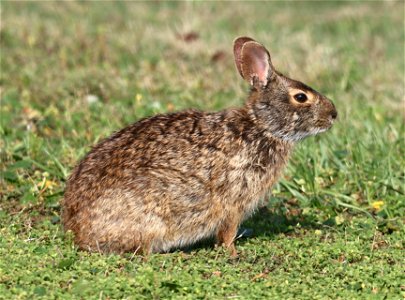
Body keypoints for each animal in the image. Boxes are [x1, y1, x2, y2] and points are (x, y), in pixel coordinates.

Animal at [61, 35, 336, 255]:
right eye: (300, 97)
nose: (334, 114)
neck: (261, 126)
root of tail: (77, 230)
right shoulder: (234, 201)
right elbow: (227, 232)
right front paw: (232, 252)